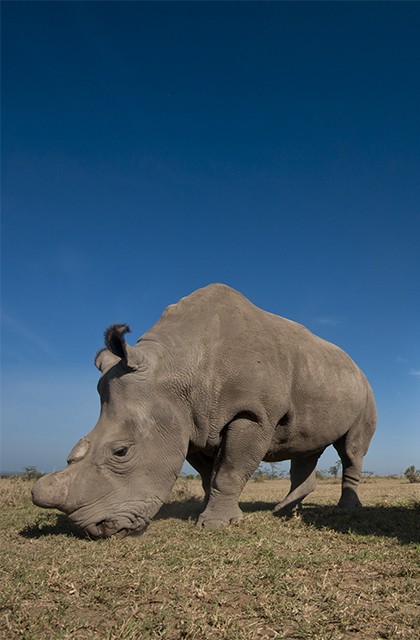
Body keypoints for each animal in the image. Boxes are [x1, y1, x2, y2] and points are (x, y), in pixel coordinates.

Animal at [32, 284, 377, 538]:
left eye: (121, 452)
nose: (93, 529)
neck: (176, 367)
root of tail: (354, 364)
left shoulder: (252, 414)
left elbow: (229, 471)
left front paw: (215, 525)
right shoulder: (189, 423)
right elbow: (208, 475)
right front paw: (210, 513)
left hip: (365, 389)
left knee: (350, 450)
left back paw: (344, 509)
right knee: (305, 447)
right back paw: (286, 512)